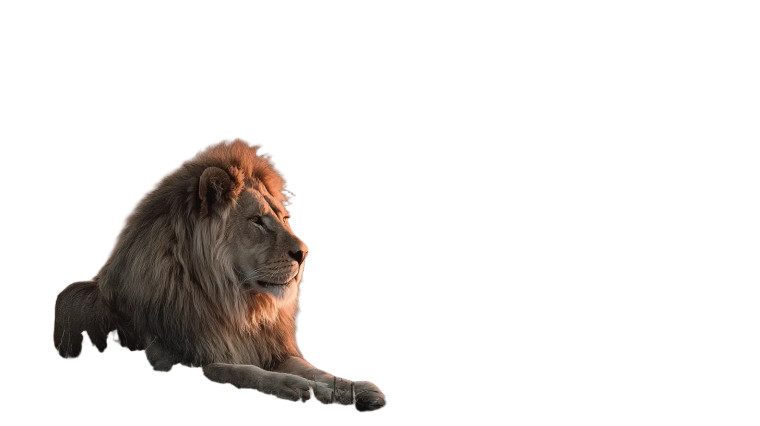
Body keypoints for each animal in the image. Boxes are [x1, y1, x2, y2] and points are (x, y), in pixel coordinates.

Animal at [53, 140, 385, 411]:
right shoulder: (188, 355)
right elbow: (246, 371)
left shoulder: (272, 348)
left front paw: (352, 389)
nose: (304, 253)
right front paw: (294, 386)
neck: (237, 305)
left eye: (284, 218)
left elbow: (315, 369)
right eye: (257, 220)